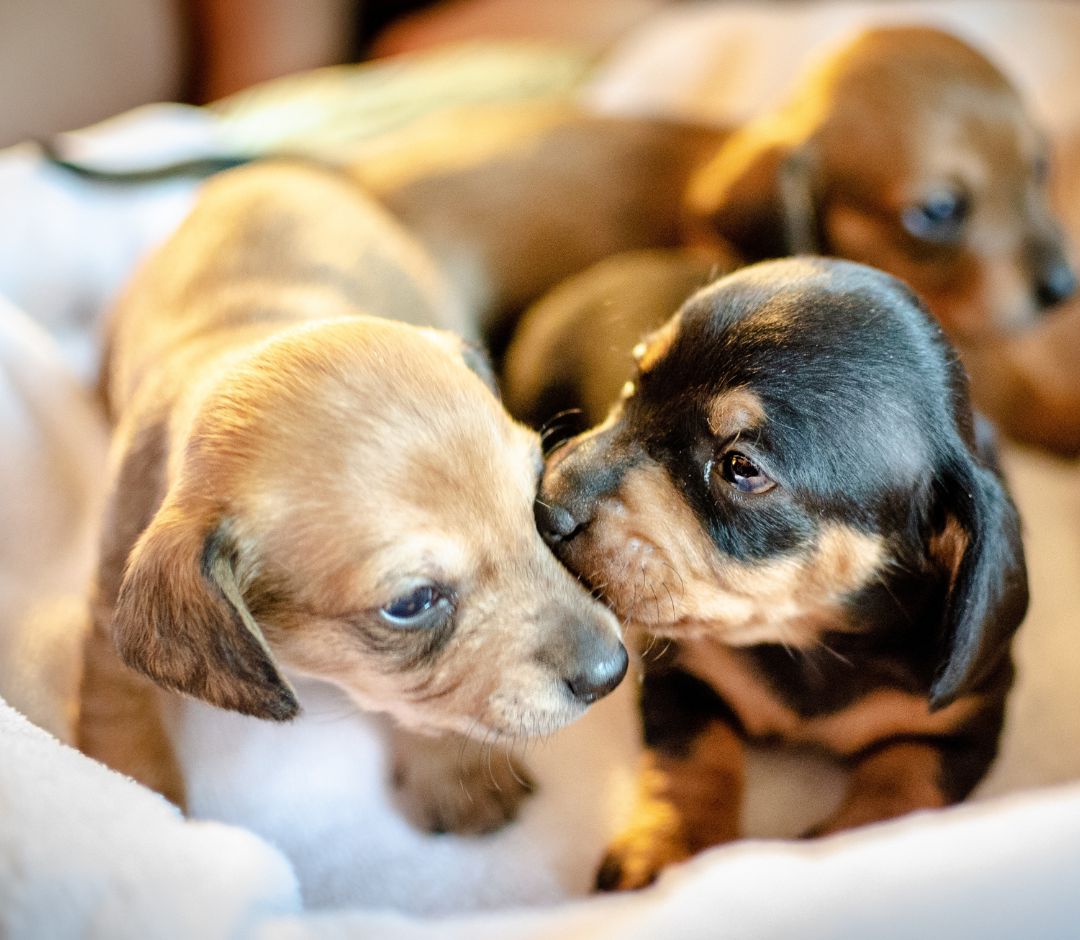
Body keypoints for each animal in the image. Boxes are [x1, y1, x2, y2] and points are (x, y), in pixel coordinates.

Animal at [535, 257, 1023, 890]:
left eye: (740, 467)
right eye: (633, 385)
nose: (544, 506)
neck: (811, 640)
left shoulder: (964, 724)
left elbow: (905, 787)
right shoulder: (685, 674)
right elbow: (693, 760)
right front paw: (667, 848)